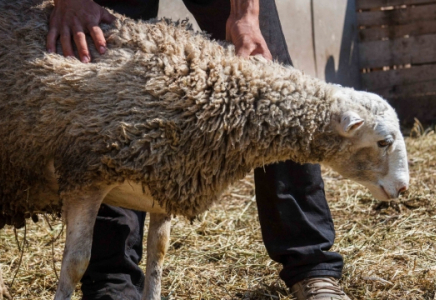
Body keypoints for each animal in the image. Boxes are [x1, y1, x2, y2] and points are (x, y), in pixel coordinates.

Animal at [0, 0, 408, 300]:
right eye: (383, 142)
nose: (403, 188)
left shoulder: (165, 178)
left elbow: (158, 255)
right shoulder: (85, 175)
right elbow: (75, 263)